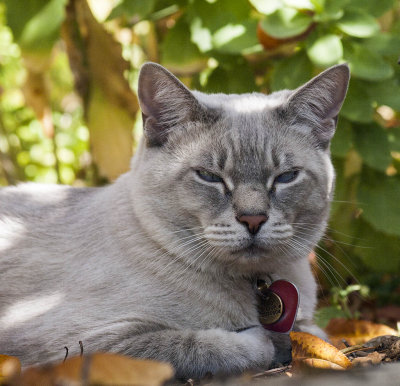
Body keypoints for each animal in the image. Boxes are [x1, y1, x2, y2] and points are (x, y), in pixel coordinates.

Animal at [0, 61, 348, 378]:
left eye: (286, 177)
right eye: (209, 176)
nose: (253, 219)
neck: (256, 284)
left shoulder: (308, 325)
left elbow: (314, 334)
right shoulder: (87, 343)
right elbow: (201, 345)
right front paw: (264, 342)